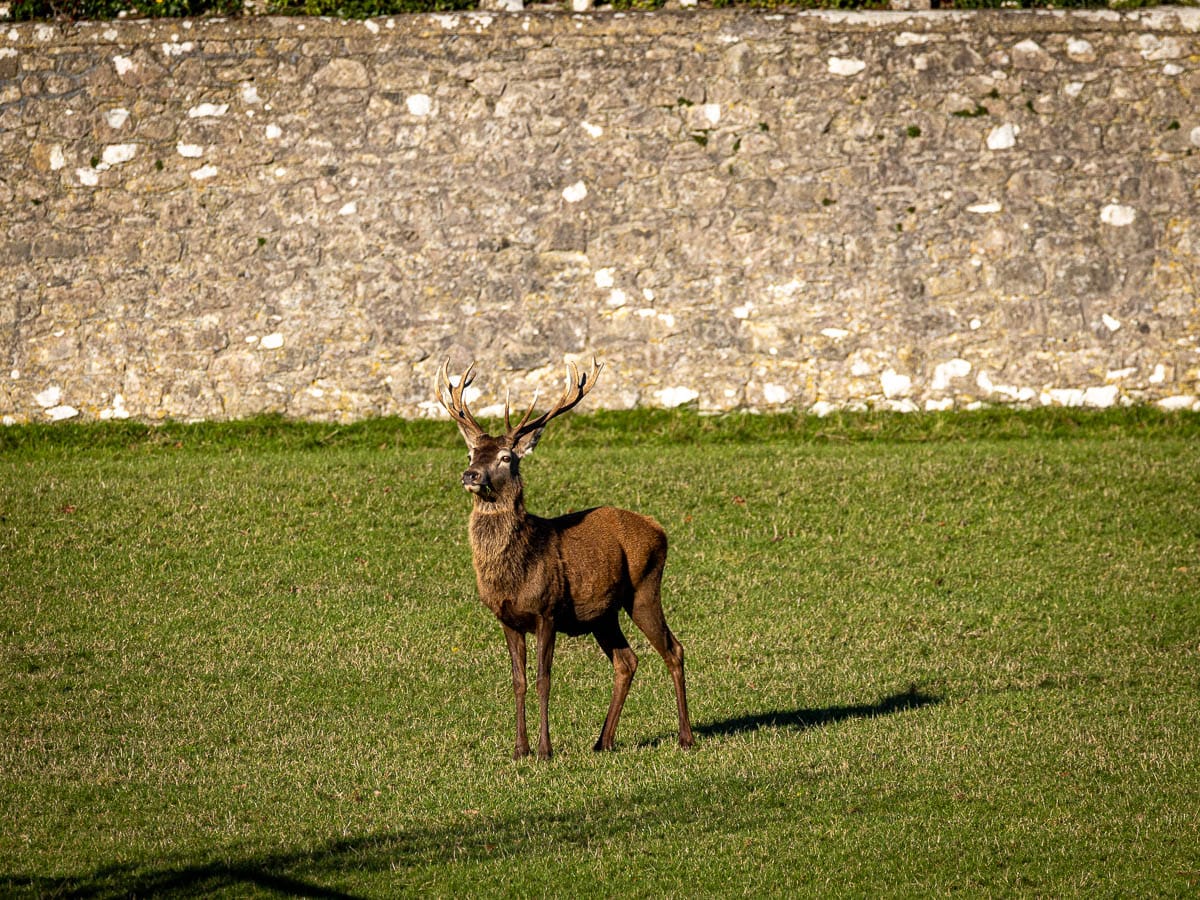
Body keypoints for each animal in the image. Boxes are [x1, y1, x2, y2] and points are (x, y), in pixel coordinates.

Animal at [435, 358, 694, 760]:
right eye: (470, 454)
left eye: (506, 457)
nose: (471, 475)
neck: (515, 574)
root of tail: (659, 528)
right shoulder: (506, 618)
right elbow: (519, 681)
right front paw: (519, 749)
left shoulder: (548, 610)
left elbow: (544, 680)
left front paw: (545, 749)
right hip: (603, 613)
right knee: (627, 661)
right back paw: (603, 741)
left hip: (645, 588)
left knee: (674, 650)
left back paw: (686, 737)